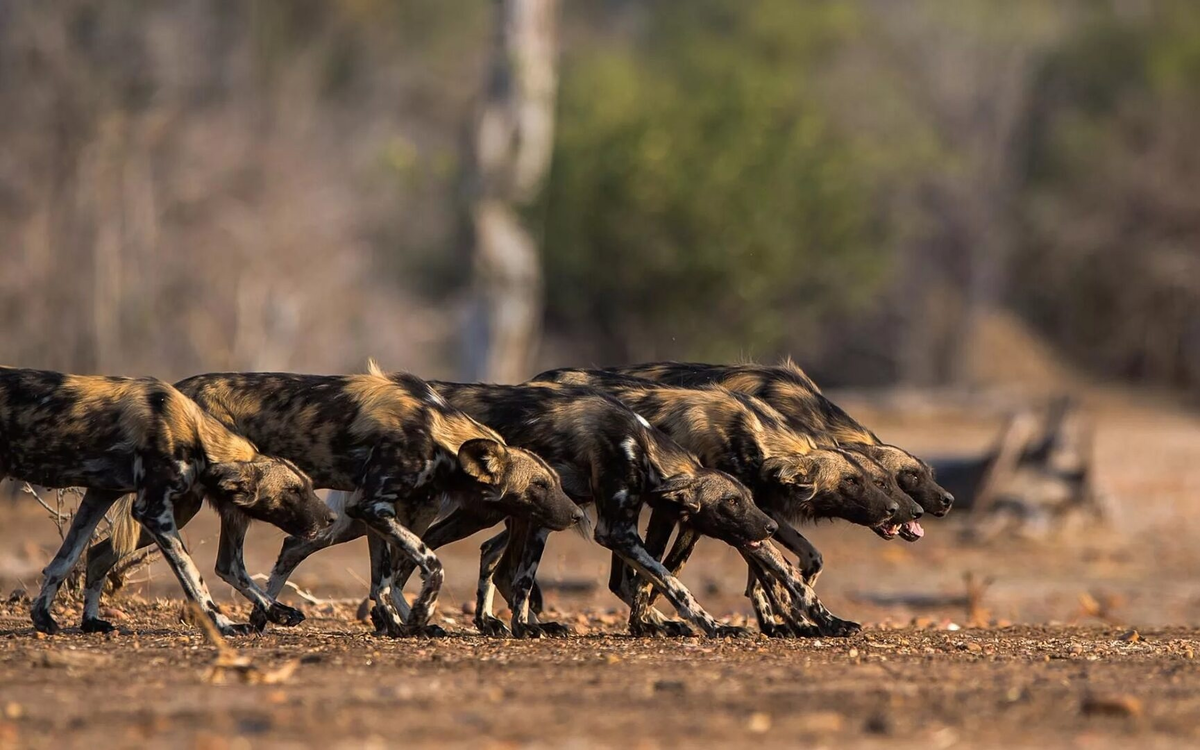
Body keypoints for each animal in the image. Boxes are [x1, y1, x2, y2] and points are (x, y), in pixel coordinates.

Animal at [7, 364, 333, 633]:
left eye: (308, 486)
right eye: (293, 491)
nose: (332, 518)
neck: (198, 438)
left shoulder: (101, 493)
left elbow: (63, 560)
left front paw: (43, 617)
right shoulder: (152, 512)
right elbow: (194, 577)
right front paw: (223, 624)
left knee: (97, 555)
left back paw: (90, 621)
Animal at [381, 379, 777, 638]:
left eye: (749, 498)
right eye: (732, 502)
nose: (771, 526)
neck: (641, 447)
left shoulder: (565, 517)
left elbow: (526, 580)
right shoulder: (616, 531)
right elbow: (671, 582)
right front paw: (714, 626)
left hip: (504, 516)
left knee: (483, 560)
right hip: (479, 514)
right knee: (414, 556)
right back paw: (396, 619)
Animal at [530, 364, 902, 633]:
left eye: (879, 480)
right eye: (853, 481)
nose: (896, 509)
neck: (754, 440)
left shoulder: (740, 519)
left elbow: (659, 574)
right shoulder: (728, 520)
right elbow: (786, 577)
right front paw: (818, 623)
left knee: (616, 577)